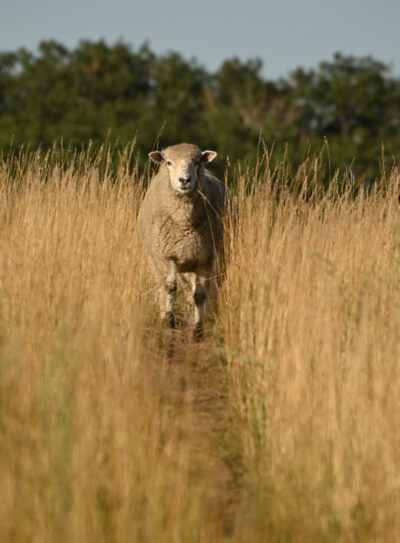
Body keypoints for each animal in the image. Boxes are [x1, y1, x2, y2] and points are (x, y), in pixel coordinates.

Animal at [138, 144, 230, 340]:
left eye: (196, 162)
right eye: (168, 162)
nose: (184, 180)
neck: (184, 222)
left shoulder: (205, 258)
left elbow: (200, 295)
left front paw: (197, 330)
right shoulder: (168, 256)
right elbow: (170, 289)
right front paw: (168, 323)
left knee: (202, 290)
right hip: (156, 260)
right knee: (163, 287)